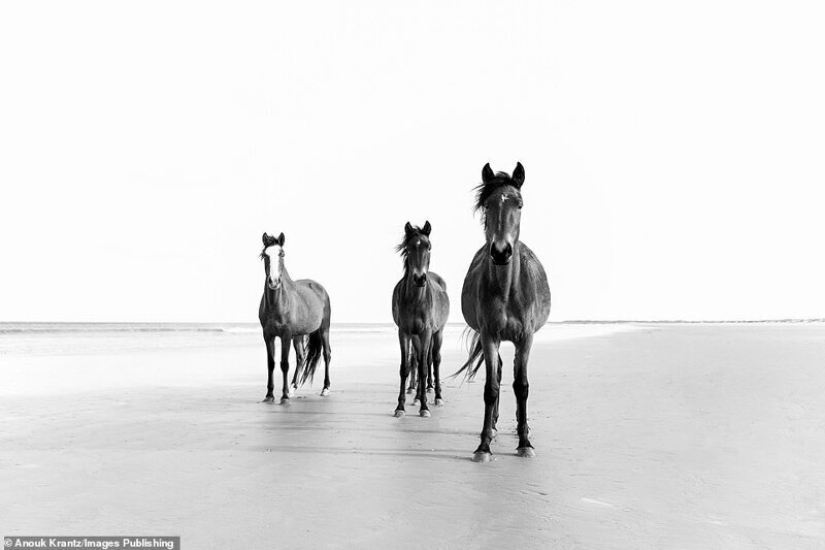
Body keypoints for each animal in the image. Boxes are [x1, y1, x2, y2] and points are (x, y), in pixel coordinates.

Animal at [258, 232, 332, 404]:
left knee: (327, 354)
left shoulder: (286, 334)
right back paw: (292, 388)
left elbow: (284, 363)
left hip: (324, 329)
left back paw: (325, 388)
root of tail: (320, 288)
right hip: (298, 335)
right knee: (301, 357)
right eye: (264, 255)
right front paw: (269, 395)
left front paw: (284, 396)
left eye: (282, 254)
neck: (278, 304)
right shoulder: (268, 335)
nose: (274, 282)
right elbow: (271, 363)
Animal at [391, 221, 450, 417]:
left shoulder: (426, 333)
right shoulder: (405, 332)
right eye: (408, 249)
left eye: (429, 247)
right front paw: (400, 407)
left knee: (435, 360)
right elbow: (405, 367)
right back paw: (417, 397)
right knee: (417, 359)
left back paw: (437, 396)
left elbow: (425, 367)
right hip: (416, 337)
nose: (419, 278)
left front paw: (425, 407)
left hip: (438, 333)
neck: (416, 300)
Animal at [457, 162, 551, 462]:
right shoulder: (489, 336)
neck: (509, 291)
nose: (500, 252)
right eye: (487, 205)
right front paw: (483, 446)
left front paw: (525, 443)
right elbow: (491, 387)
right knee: (497, 373)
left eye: (519, 204)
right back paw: (493, 427)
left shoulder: (526, 338)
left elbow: (521, 386)